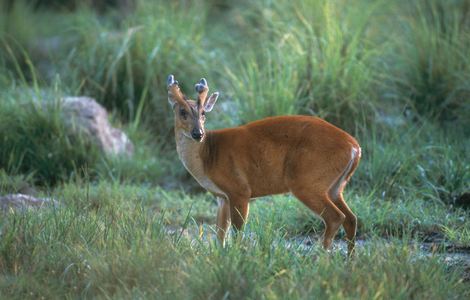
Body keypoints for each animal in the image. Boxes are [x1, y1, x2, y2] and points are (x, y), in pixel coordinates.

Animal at [167, 74, 362, 253]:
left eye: (203, 113)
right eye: (182, 112)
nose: (198, 133)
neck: (208, 156)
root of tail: (354, 147)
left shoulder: (240, 190)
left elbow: (237, 233)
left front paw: (235, 257)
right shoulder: (222, 196)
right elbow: (220, 235)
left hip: (307, 182)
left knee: (336, 217)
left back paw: (322, 258)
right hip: (335, 187)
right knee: (351, 218)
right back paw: (349, 260)